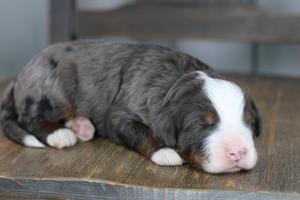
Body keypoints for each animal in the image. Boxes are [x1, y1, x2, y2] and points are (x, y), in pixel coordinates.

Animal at [0, 39, 260, 173]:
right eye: (201, 125)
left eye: (249, 122)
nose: (238, 152)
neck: (177, 79)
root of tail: (21, 74)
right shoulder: (119, 115)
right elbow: (141, 131)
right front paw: (165, 152)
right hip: (55, 90)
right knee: (29, 117)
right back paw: (61, 134)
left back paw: (81, 126)